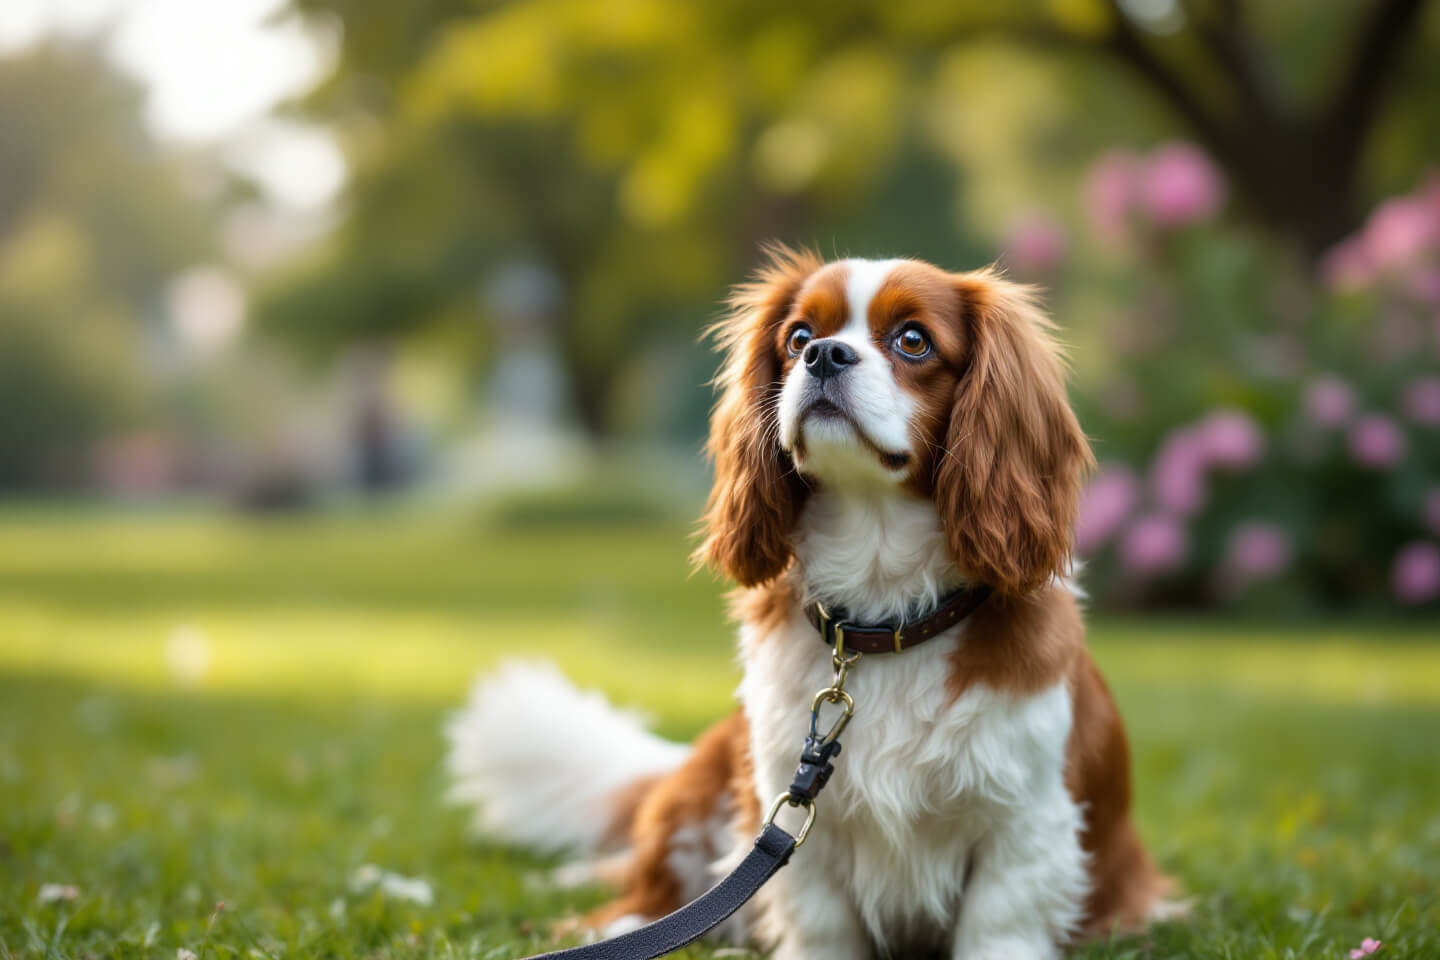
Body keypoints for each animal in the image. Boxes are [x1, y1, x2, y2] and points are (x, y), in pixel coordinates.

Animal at [446, 250, 1169, 960]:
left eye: (913, 341)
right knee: (648, 894)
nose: (825, 354)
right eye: (797, 338)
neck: (883, 613)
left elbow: (999, 927)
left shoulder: (1023, 823)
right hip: (704, 792)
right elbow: (820, 924)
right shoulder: (792, 811)